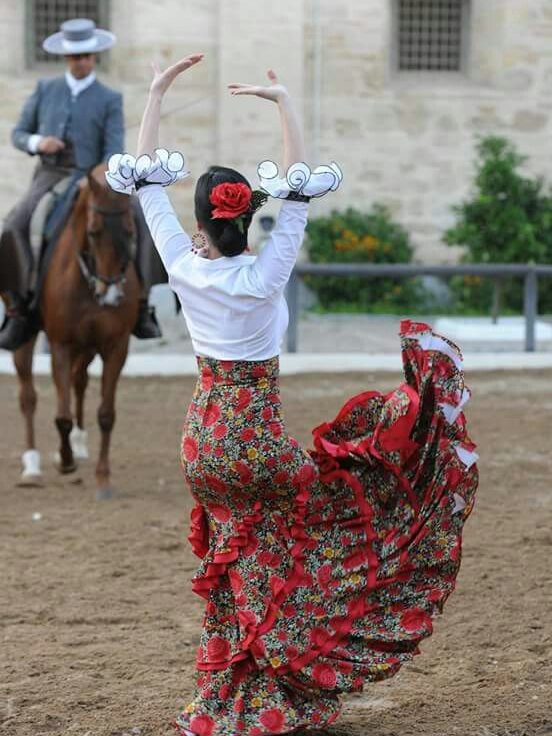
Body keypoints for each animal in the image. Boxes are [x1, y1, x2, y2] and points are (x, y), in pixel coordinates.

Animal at [13, 164, 140, 497]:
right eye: (94, 231)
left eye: (131, 232)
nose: (111, 295)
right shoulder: (62, 344)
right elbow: (62, 416)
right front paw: (65, 460)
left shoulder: (115, 347)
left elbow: (106, 414)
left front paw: (103, 478)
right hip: (27, 337)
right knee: (28, 396)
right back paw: (32, 467)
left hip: (88, 347)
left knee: (78, 381)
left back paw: (78, 446)